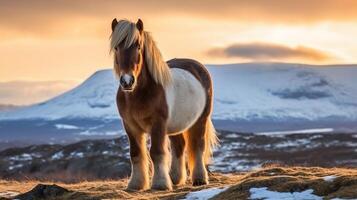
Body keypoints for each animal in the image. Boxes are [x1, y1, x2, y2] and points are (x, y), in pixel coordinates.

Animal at [110, 18, 218, 191]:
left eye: (138, 46)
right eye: (116, 47)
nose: (127, 81)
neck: (140, 93)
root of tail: (198, 66)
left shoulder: (158, 124)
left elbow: (157, 152)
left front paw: (160, 184)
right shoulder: (130, 125)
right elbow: (135, 153)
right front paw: (136, 184)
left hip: (200, 120)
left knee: (197, 146)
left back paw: (199, 179)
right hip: (176, 125)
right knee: (179, 146)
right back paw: (175, 179)